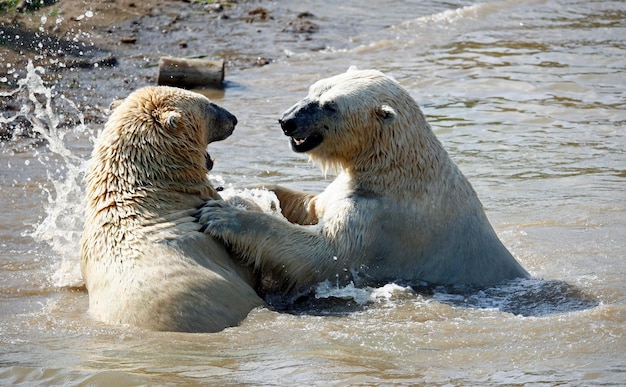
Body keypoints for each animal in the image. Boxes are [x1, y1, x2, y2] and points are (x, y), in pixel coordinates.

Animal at [197, 69, 528, 294]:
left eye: (330, 105)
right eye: (313, 88)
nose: (286, 121)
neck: (393, 171)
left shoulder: (378, 219)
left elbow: (323, 253)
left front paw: (222, 214)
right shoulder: (349, 189)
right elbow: (313, 205)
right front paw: (239, 189)